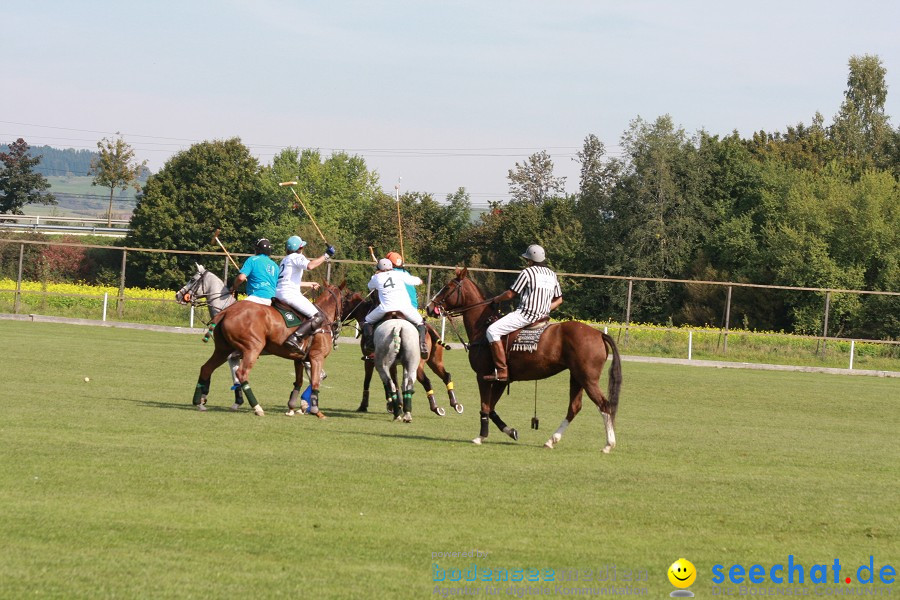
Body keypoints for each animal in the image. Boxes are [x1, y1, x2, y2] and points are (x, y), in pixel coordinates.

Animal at [192, 282, 346, 418]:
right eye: (345, 299)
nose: (339, 325)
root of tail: (227, 311)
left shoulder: (300, 358)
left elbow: (300, 381)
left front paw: (293, 408)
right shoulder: (316, 357)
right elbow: (313, 382)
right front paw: (315, 410)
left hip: (224, 350)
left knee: (206, 368)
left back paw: (198, 402)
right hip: (252, 348)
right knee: (240, 373)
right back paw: (257, 407)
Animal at [426, 270, 624, 452]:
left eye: (447, 287)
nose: (429, 307)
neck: (482, 327)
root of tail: (599, 334)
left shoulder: (483, 376)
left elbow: (485, 407)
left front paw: (481, 436)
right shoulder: (502, 380)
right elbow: (491, 408)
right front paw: (511, 431)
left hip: (588, 377)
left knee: (604, 405)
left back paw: (609, 444)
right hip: (576, 376)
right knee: (574, 407)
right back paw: (551, 440)